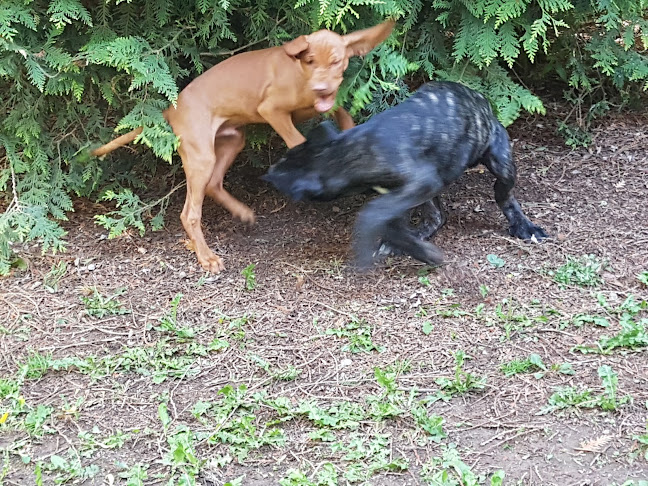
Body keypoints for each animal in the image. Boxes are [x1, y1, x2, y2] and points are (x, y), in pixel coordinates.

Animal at [90, 19, 394, 274]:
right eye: (309, 60)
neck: (299, 74)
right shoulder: (272, 110)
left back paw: (241, 212)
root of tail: (172, 110)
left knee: (213, 184)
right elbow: (298, 141)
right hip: (201, 156)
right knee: (190, 213)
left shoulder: (326, 103)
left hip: (232, 141)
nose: (320, 88)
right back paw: (206, 257)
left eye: (336, 62)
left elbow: (343, 114)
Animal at [264, 81, 548, 268]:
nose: (268, 172)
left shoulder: (417, 184)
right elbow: (390, 224)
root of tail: (481, 99)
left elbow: (372, 214)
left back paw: (524, 226)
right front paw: (410, 246)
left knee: (503, 194)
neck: (348, 150)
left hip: (500, 161)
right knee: (437, 217)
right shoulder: (402, 195)